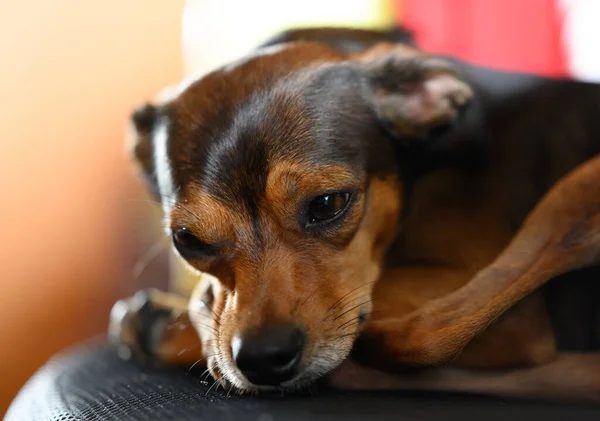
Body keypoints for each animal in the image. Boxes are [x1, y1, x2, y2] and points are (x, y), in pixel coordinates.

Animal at [108, 27, 600, 400]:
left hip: (576, 191)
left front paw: (181, 320)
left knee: (423, 335)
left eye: (328, 203)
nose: (264, 357)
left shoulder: (508, 314)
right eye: (188, 241)